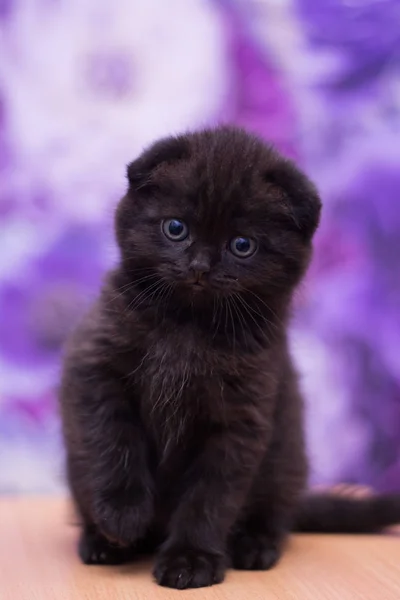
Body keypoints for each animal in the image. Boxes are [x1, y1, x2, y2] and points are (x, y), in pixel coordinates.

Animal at [59, 126, 400, 592]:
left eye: (242, 245)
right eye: (175, 228)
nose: (200, 266)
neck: (189, 326)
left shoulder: (241, 417)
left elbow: (211, 495)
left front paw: (191, 559)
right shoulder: (96, 366)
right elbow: (113, 443)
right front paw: (121, 516)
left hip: (285, 462)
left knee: (275, 514)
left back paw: (254, 546)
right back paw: (102, 543)